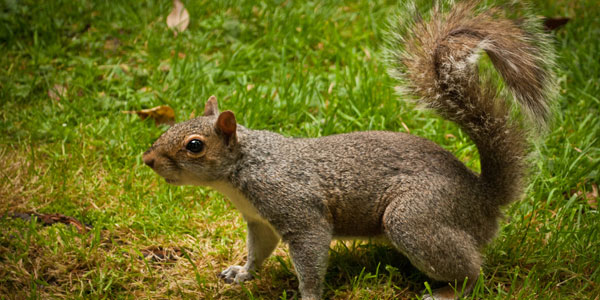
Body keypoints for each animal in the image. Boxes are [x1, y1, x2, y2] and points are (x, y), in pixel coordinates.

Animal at [143, 1, 556, 298]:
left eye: (194, 145)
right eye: (177, 124)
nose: (147, 160)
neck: (243, 168)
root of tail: (485, 198)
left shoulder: (298, 211)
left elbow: (310, 255)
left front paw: (307, 296)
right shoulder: (259, 220)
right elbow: (258, 251)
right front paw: (241, 272)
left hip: (416, 217)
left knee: (472, 270)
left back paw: (450, 291)